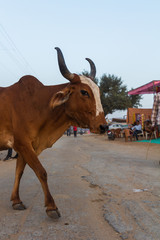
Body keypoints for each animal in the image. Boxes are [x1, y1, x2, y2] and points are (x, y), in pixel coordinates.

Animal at [0, 47, 107, 218]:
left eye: (98, 91)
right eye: (84, 92)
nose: (103, 127)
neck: (37, 105)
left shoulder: (26, 147)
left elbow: (19, 172)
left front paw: (16, 200)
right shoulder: (22, 144)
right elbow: (41, 172)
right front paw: (51, 207)